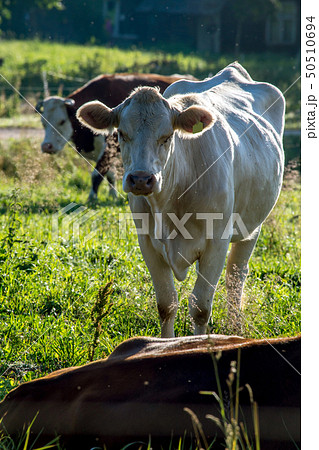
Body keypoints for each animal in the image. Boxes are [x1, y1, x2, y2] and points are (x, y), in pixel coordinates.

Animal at [77, 63, 284, 338]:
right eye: (121, 134)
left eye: (167, 136)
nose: (141, 180)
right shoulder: (147, 242)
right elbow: (166, 304)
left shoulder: (217, 242)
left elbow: (201, 307)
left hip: (252, 226)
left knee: (236, 275)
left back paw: (235, 327)